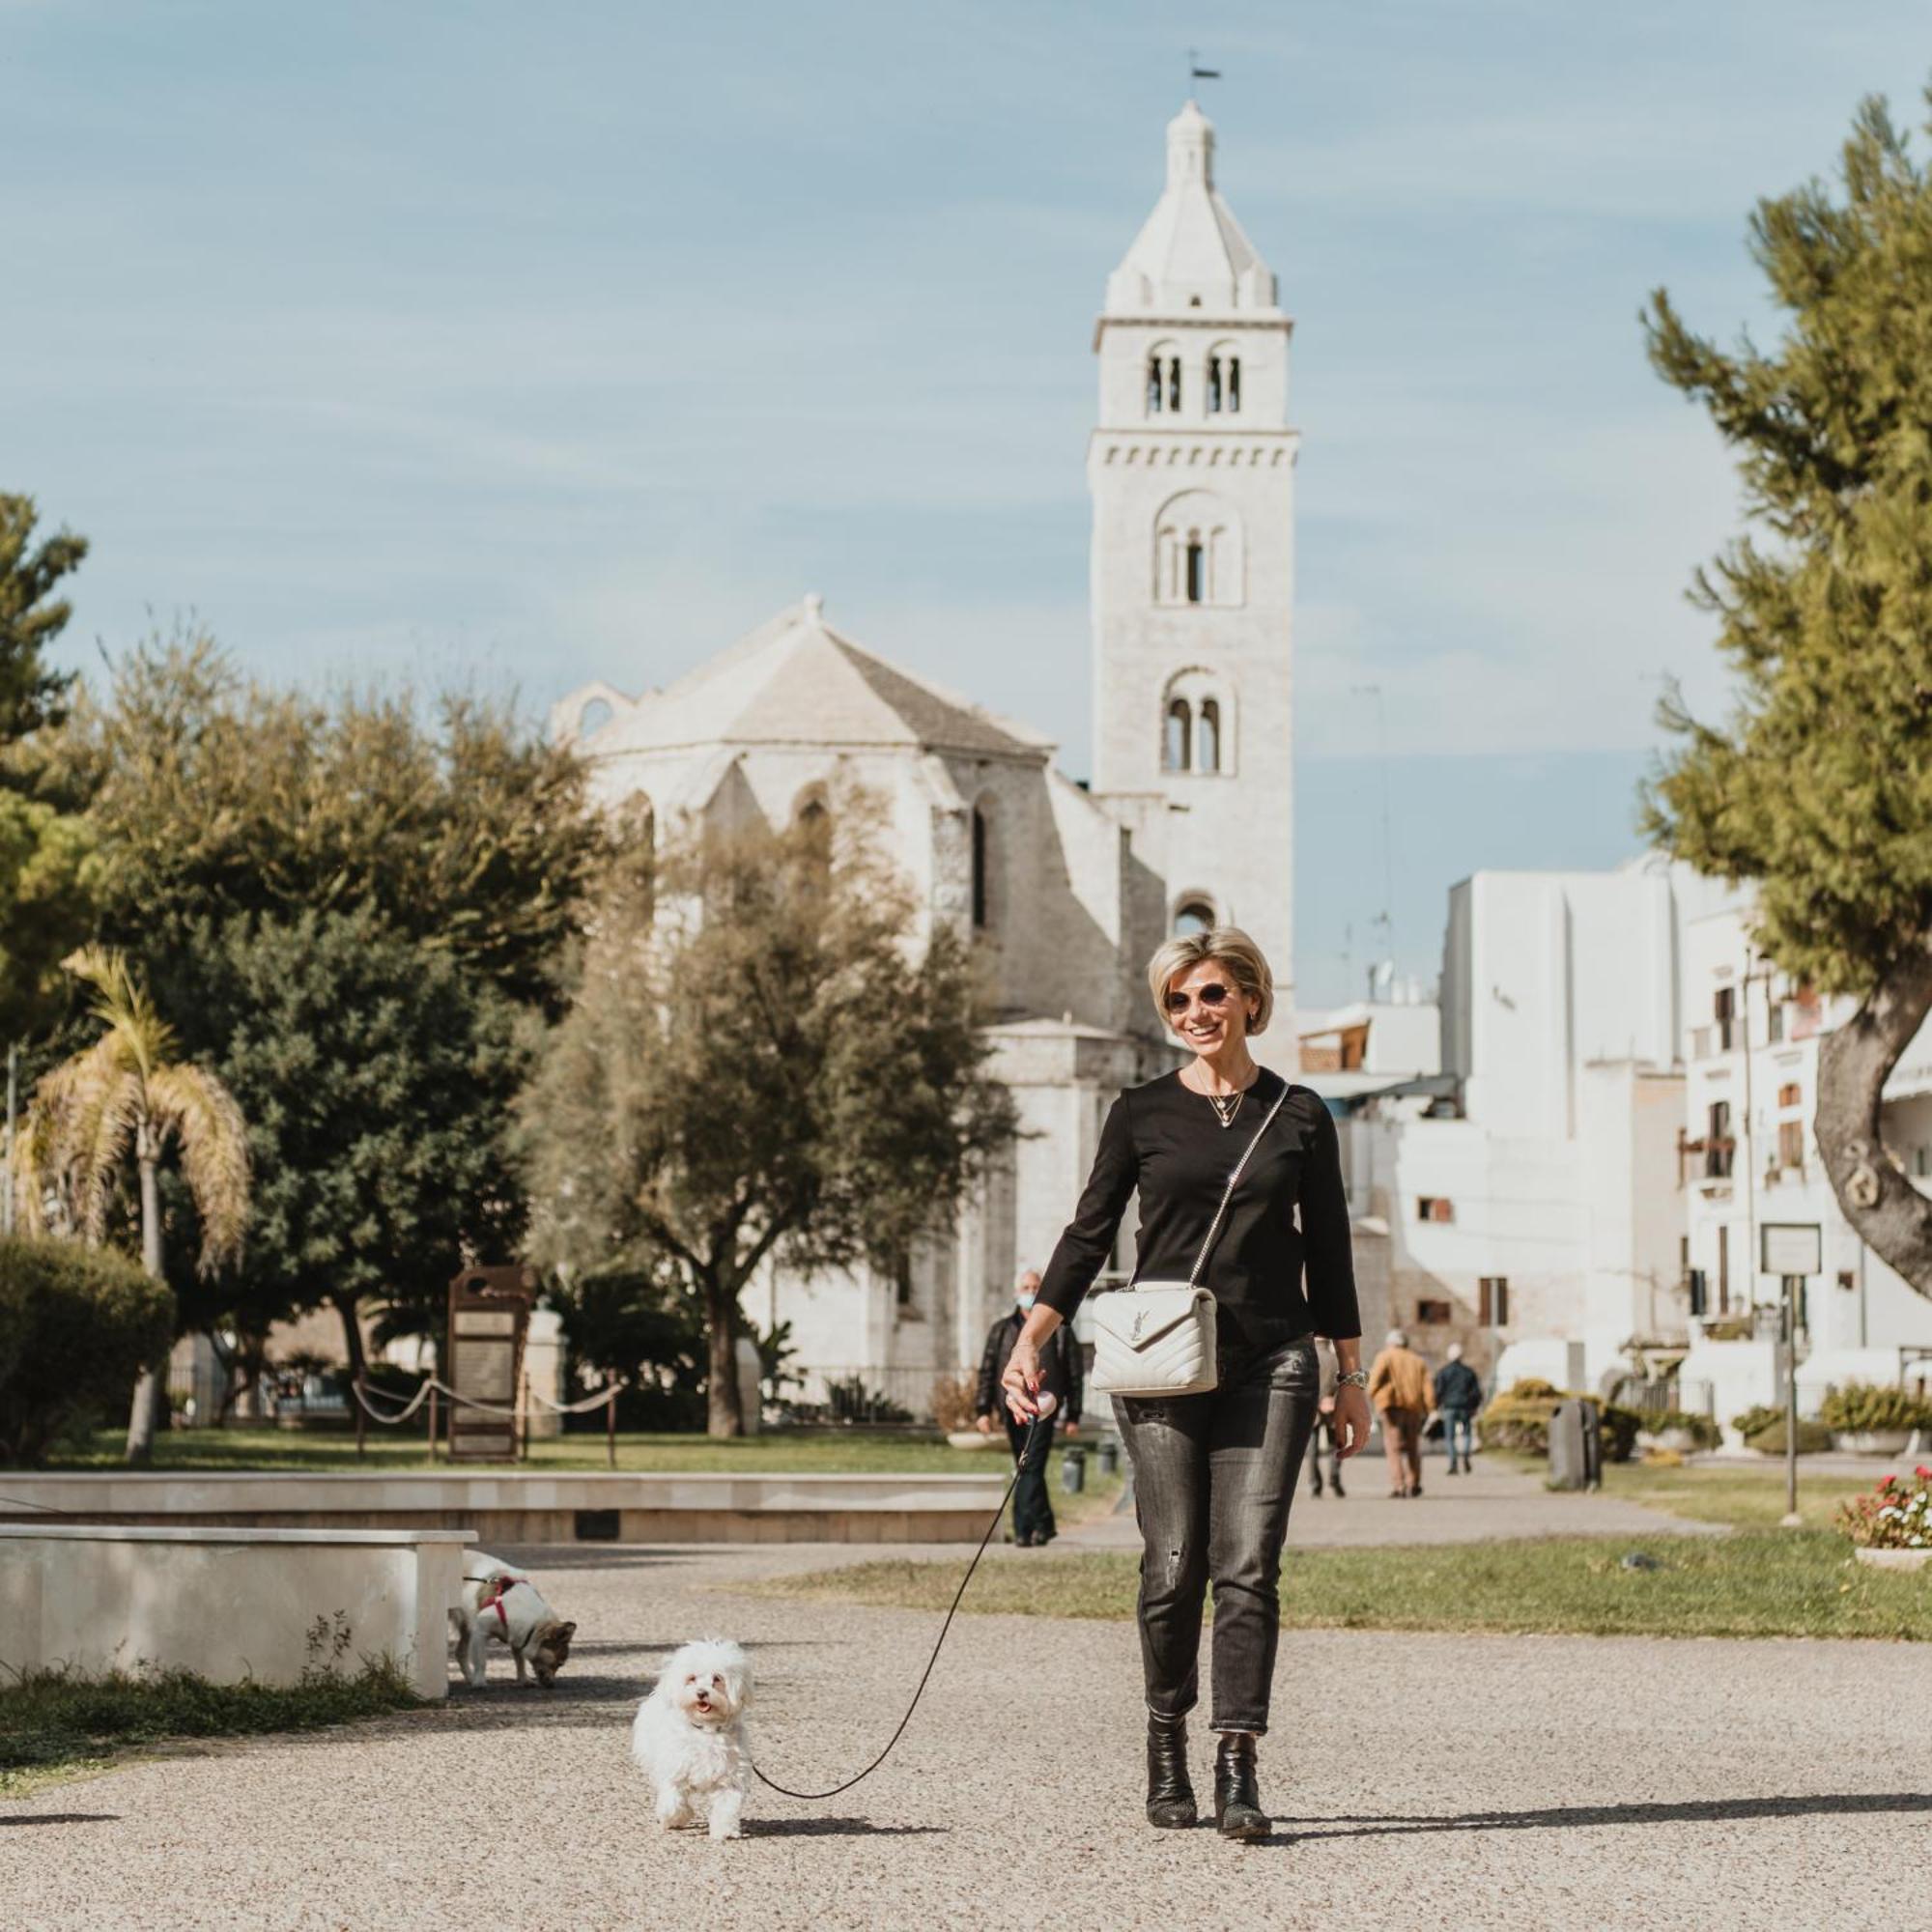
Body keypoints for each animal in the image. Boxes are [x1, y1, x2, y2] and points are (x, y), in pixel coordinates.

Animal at [450, 1546, 572, 1685]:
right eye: (560, 1664)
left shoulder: (518, 1635)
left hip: (467, 1628)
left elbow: (520, 1660)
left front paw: (524, 1679)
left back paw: (470, 1677)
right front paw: (480, 1681)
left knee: (460, 1652)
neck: (535, 1624)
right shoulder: (480, 1633)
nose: (552, 1684)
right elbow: (481, 1661)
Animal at [634, 1646, 753, 1839]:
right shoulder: (675, 1770)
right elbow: (673, 1801)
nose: (701, 1693)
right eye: (692, 1678)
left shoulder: (730, 1777)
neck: (706, 1730)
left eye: (717, 1678)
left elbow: (727, 1806)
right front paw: (677, 1818)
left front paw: (725, 1830)